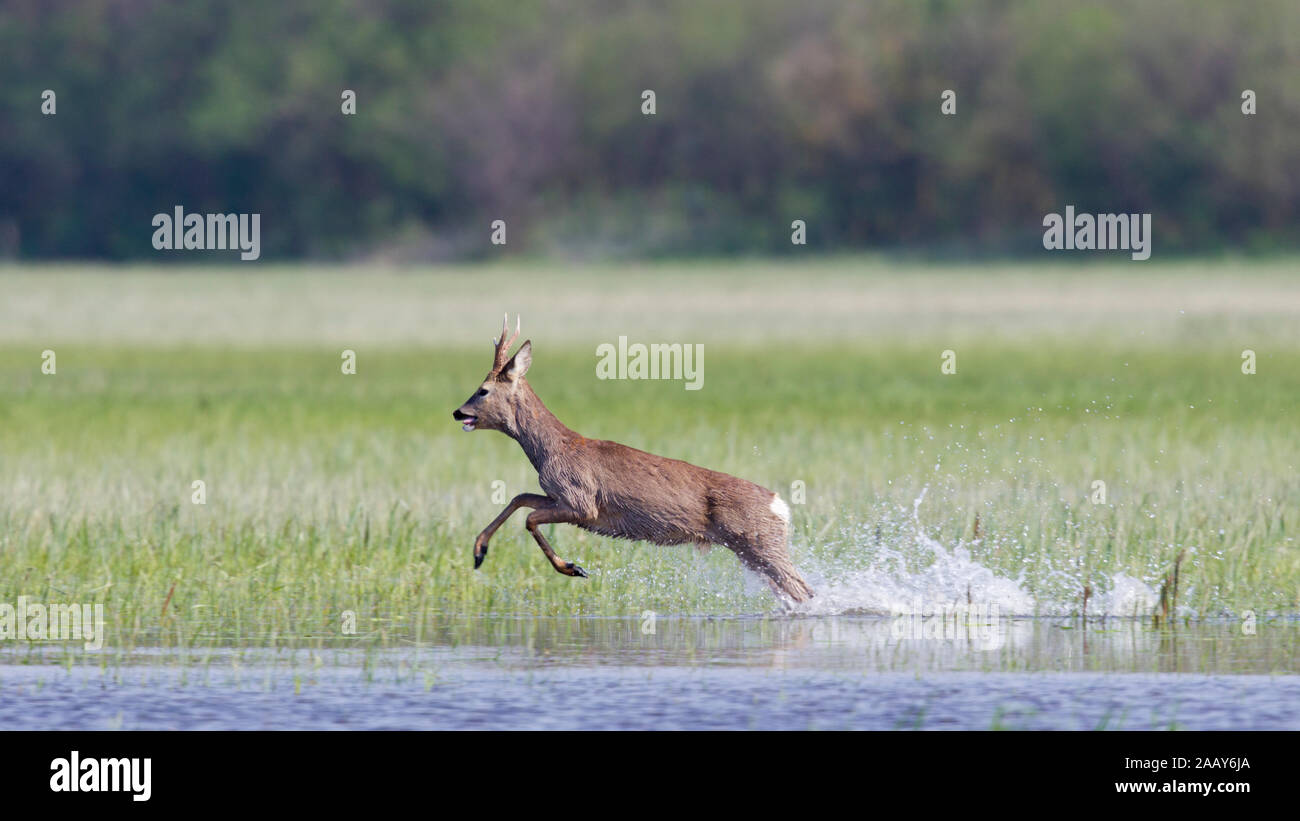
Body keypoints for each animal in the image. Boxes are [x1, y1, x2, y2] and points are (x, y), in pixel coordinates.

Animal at [454, 314, 811, 602]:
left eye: (483, 390)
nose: (458, 412)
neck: (552, 450)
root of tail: (780, 505)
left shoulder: (581, 501)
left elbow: (529, 518)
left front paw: (573, 568)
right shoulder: (558, 495)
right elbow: (519, 498)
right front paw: (478, 552)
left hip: (759, 543)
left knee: (803, 590)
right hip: (751, 550)